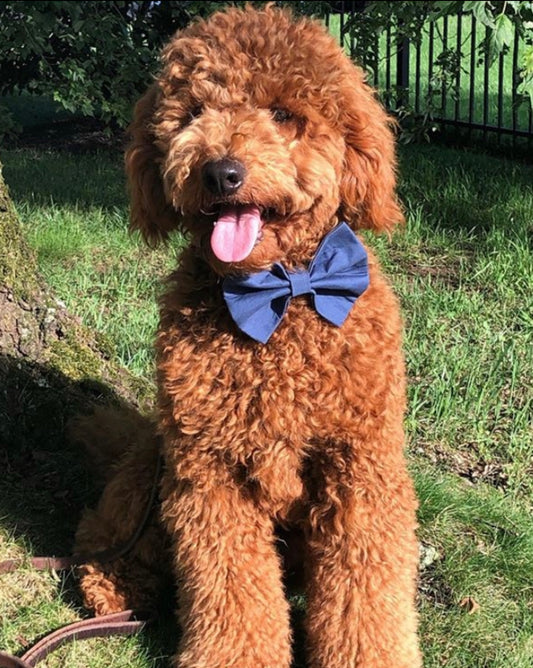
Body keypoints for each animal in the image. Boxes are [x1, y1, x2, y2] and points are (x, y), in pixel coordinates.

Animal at [76, 5, 420, 668]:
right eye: (193, 113)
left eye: (284, 114)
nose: (221, 172)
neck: (278, 300)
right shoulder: (210, 468)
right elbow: (231, 588)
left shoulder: (361, 463)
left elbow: (364, 588)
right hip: (153, 464)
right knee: (102, 532)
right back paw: (112, 586)